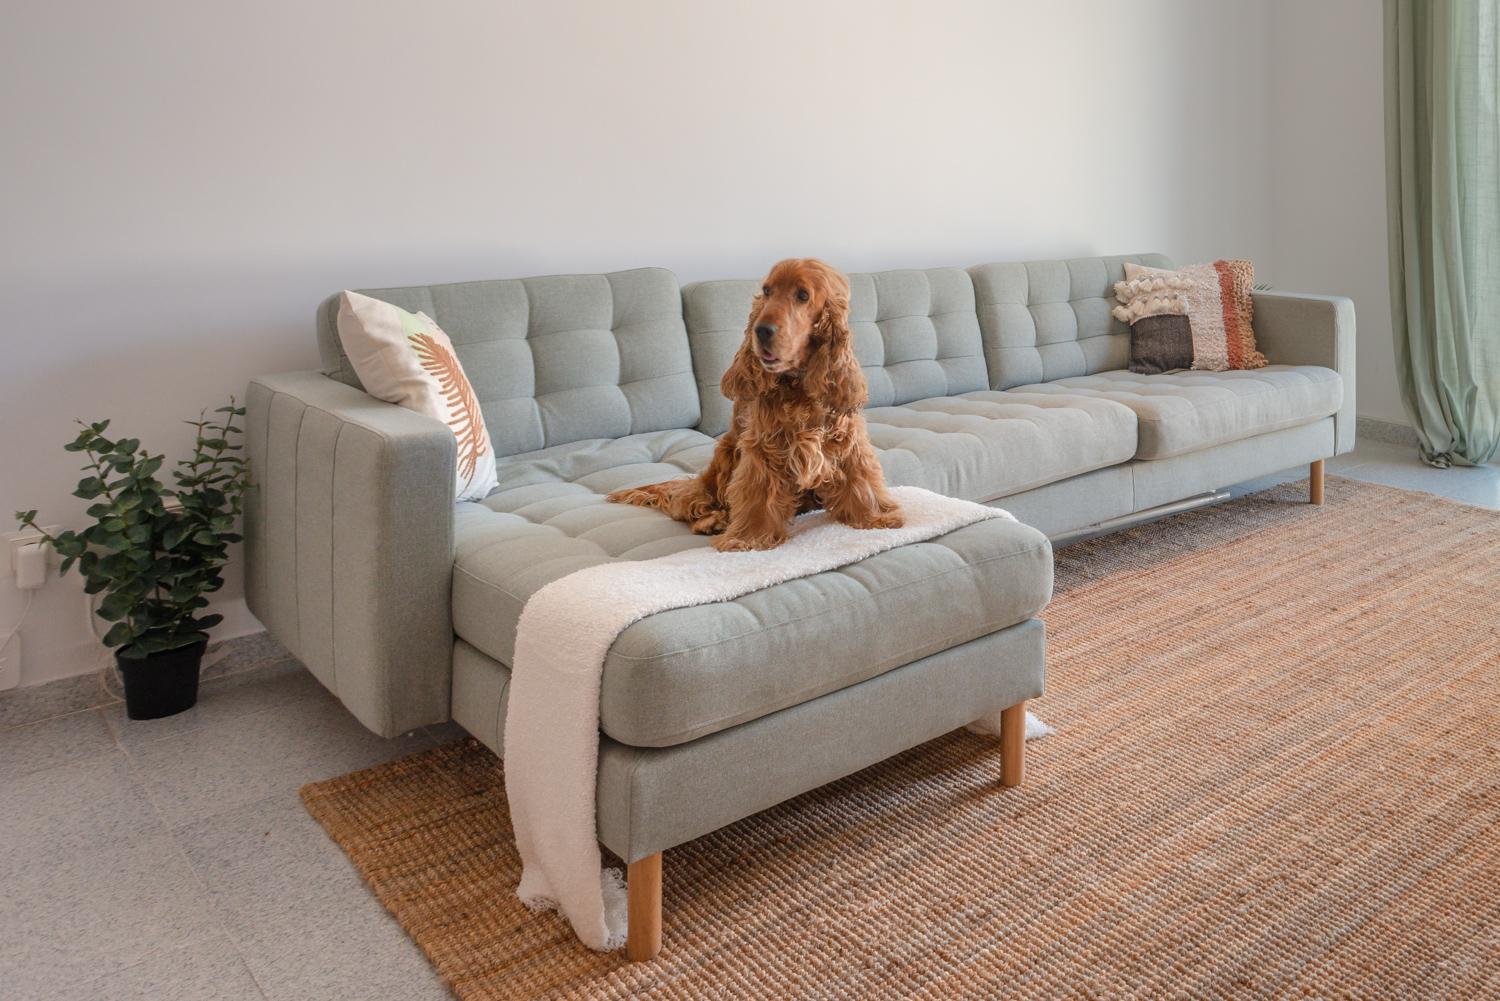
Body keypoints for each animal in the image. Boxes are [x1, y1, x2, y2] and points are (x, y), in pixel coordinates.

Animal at [607, 258, 902, 551]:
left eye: (803, 295)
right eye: (767, 291)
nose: (761, 330)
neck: (799, 386)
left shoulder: (846, 439)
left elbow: (860, 479)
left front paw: (875, 516)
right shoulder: (764, 448)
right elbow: (758, 494)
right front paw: (750, 538)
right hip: (724, 457)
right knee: (692, 501)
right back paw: (711, 521)